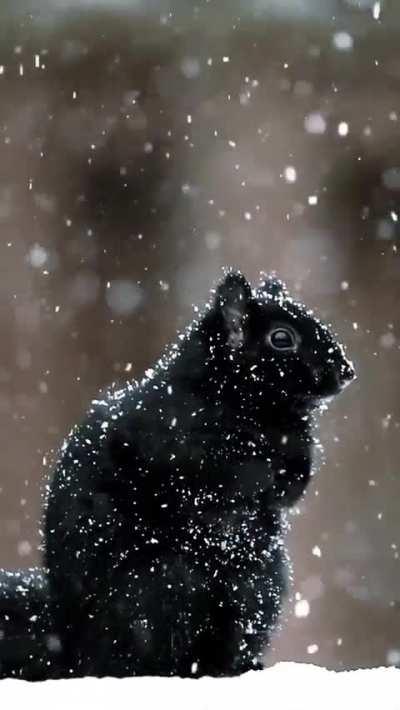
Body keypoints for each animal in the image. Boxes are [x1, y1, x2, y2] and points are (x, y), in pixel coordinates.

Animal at [1, 270, 355, 679]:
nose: (347, 371)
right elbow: (226, 475)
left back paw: (241, 665)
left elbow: (292, 485)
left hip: (259, 586)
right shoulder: (172, 441)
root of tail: (73, 650)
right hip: (162, 585)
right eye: (281, 338)